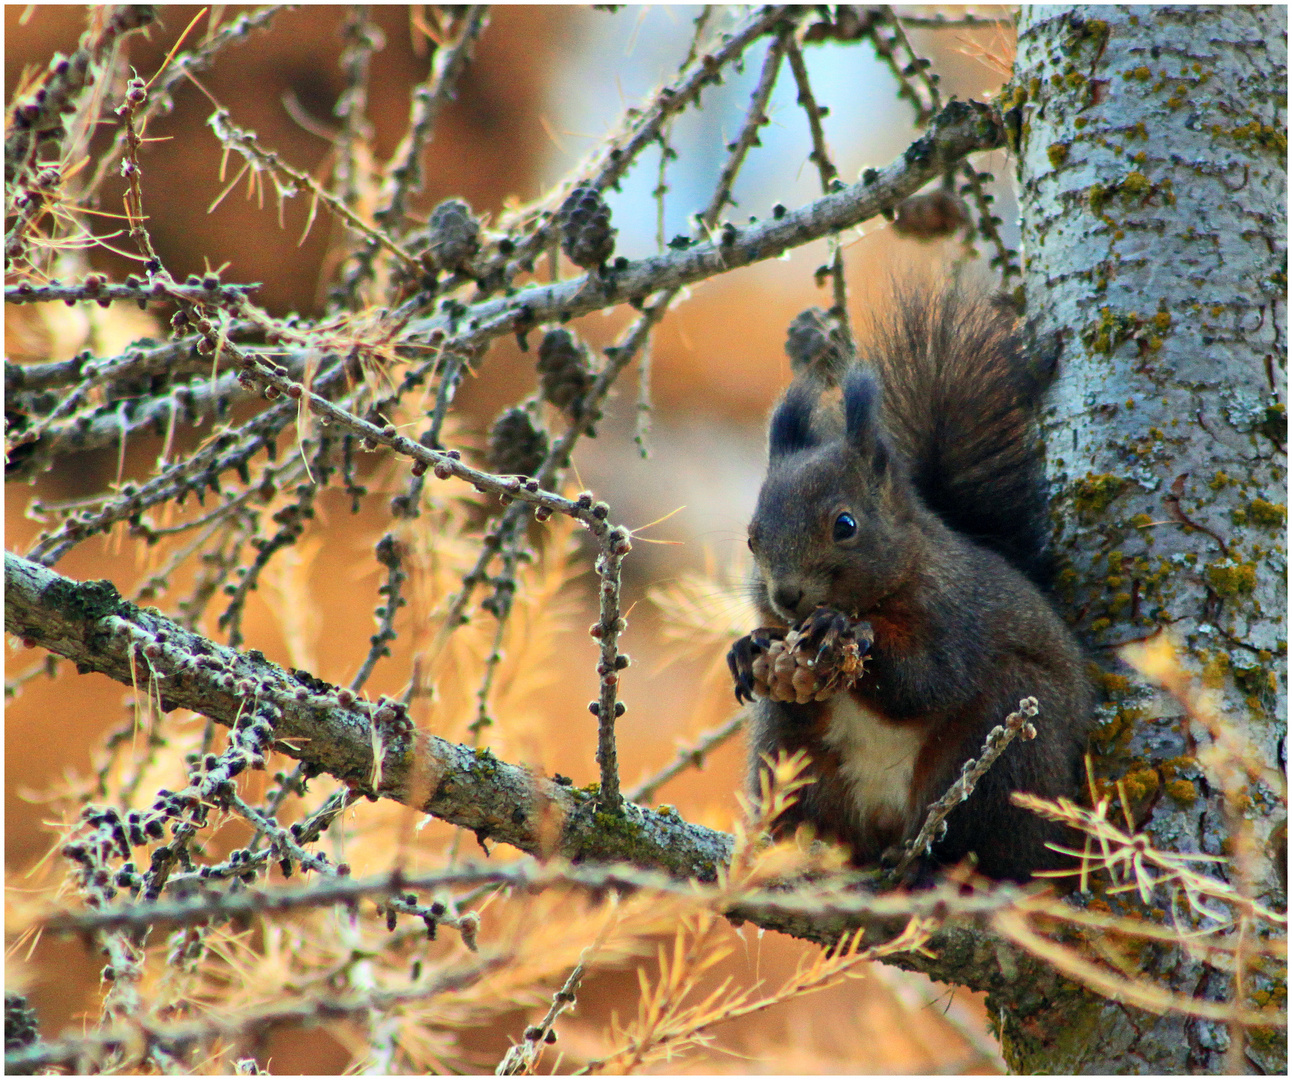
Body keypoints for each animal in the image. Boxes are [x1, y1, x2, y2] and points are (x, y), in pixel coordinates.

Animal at [728, 286, 1090, 883]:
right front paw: (751, 646)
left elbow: (929, 679)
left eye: (845, 525)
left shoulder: (954, 613)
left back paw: (930, 865)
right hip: (789, 761)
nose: (786, 597)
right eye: (753, 539)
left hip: (1007, 751)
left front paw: (846, 631)